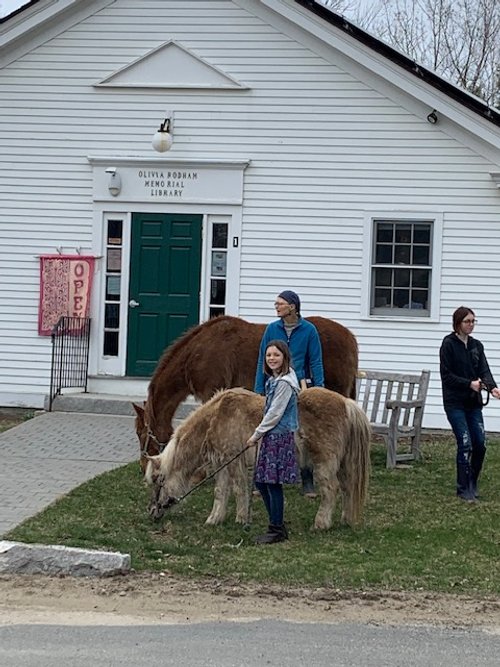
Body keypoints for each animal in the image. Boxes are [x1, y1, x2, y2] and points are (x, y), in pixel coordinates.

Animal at [145, 386, 372, 532]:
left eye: (157, 480)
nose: (152, 512)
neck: (216, 417)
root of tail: (347, 403)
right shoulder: (222, 464)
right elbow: (221, 491)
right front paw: (214, 519)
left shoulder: (232, 460)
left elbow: (238, 489)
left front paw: (240, 519)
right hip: (343, 465)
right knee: (348, 488)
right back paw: (345, 520)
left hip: (325, 463)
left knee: (331, 489)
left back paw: (321, 524)